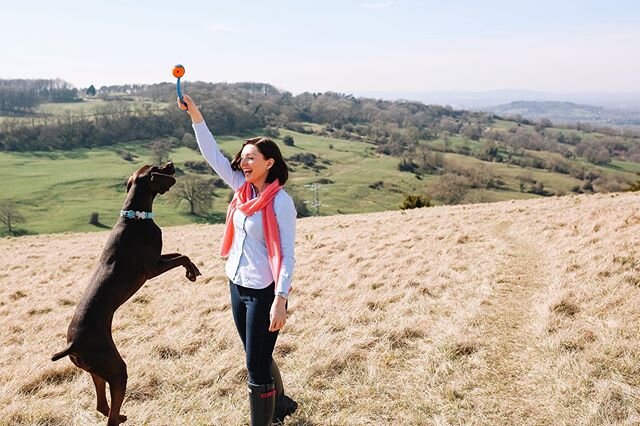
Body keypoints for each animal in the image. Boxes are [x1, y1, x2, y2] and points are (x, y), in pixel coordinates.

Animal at [51, 161, 201, 424]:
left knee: (102, 405)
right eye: (158, 167)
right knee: (109, 412)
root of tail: (72, 344)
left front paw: (192, 270)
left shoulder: (159, 259)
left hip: (97, 371)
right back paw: (118, 417)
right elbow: (181, 256)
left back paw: (119, 414)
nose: (172, 164)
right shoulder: (152, 268)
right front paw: (191, 271)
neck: (135, 217)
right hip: (116, 369)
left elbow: (180, 254)